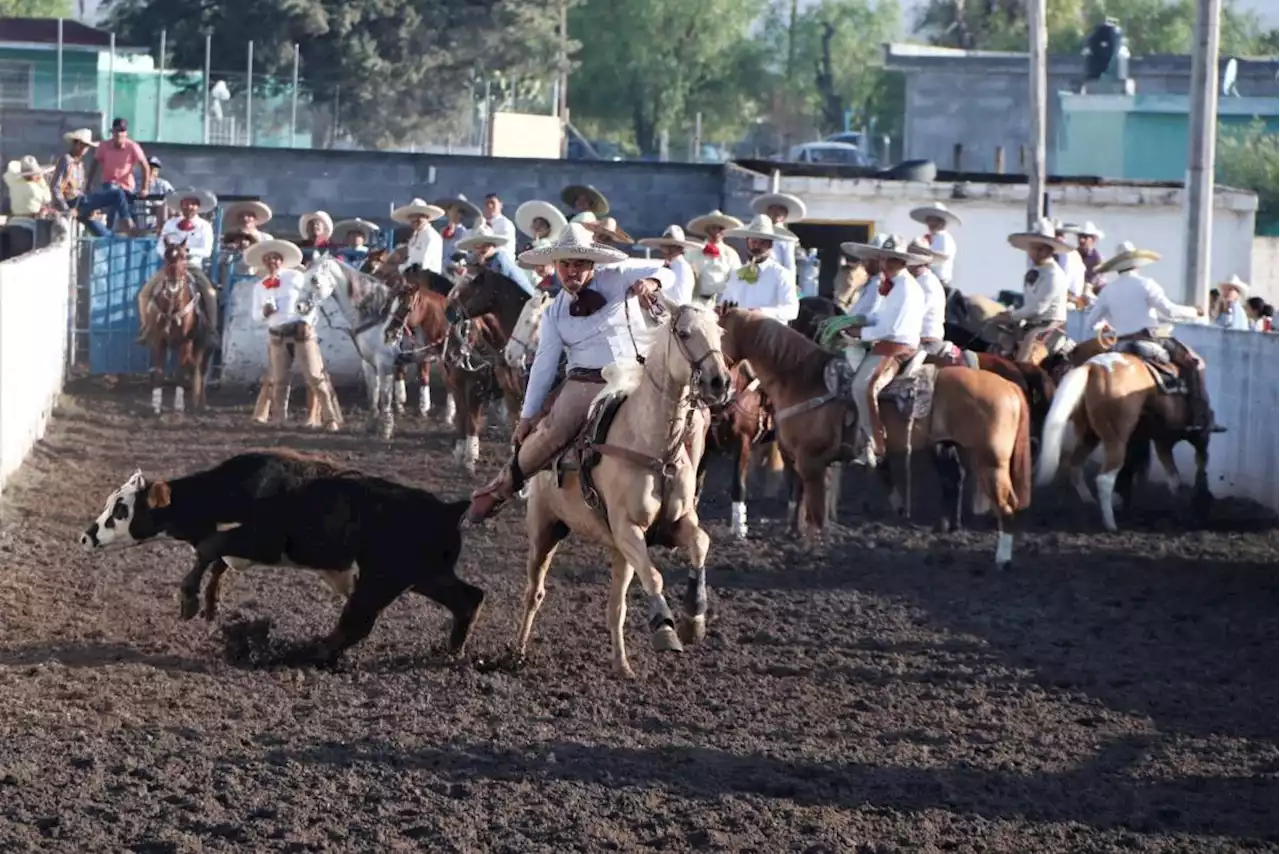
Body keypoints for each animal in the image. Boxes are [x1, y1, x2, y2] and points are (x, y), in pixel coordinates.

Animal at [139, 239, 212, 414]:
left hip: (202, 345)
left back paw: (201, 404)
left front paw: (179, 406)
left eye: (184, 256)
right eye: (166, 256)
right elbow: (159, 372)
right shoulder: (158, 341)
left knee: (200, 371)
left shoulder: (185, 344)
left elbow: (180, 372)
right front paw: (156, 405)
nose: (172, 286)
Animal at [303, 252, 453, 440]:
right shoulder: (368, 363)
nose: (300, 305)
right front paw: (371, 424)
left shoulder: (385, 363)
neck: (376, 314)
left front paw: (386, 429)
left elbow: (386, 396)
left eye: (315, 280)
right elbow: (373, 394)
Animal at [440, 270, 529, 473]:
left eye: (466, 328)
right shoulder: (457, 389)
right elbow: (461, 420)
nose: (450, 359)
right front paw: (459, 454)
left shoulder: (476, 391)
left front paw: (470, 459)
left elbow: (472, 423)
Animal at [509, 303, 732, 676]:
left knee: (615, 607)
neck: (654, 447)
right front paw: (666, 631)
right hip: (545, 530)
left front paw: (693, 620)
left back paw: (622, 664)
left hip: (618, 552)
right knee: (534, 592)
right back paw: (518, 650)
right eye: (684, 332)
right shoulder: (629, 528)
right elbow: (655, 577)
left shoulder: (674, 525)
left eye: (720, 332)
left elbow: (701, 542)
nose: (721, 382)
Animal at [716, 307, 1034, 568]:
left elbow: (815, 510)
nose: (719, 382)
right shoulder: (801, 458)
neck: (802, 379)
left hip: (990, 463)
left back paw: (1001, 559)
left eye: (718, 333)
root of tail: (1009, 387)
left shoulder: (810, 461)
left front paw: (810, 550)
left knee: (1005, 506)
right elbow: (803, 502)